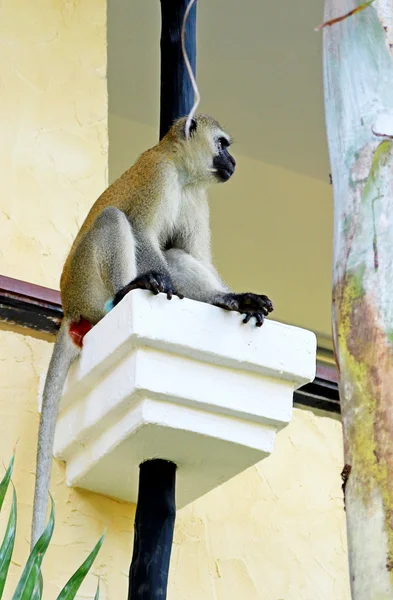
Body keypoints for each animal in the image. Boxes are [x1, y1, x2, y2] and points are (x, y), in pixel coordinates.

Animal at [30, 113, 272, 548]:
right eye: (224, 145)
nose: (233, 161)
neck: (181, 171)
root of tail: (70, 309)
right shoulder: (158, 178)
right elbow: (142, 233)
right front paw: (158, 282)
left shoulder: (196, 197)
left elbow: (190, 256)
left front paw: (234, 298)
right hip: (88, 288)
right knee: (115, 221)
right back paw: (132, 289)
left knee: (172, 254)